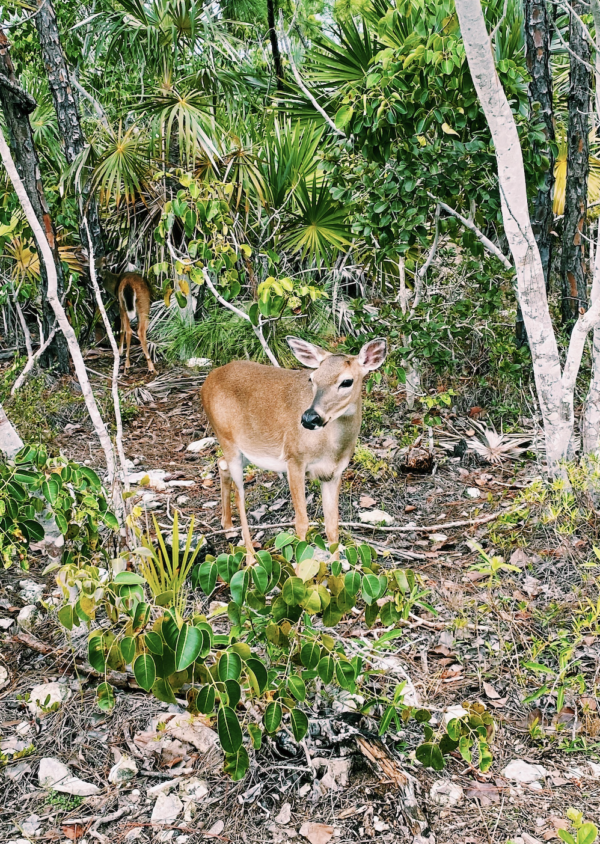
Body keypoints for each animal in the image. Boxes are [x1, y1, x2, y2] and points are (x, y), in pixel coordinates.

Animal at [200, 332, 390, 556]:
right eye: (312, 379)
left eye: (347, 381)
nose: (309, 418)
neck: (331, 448)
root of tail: (208, 380)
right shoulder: (294, 459)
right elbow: (302, 522)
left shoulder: (333, 473)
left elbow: (332, 526)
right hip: (227, 438)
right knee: (240, 495)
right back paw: (251, 557)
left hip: (245, 450)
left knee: (221, 463)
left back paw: (228, 527)